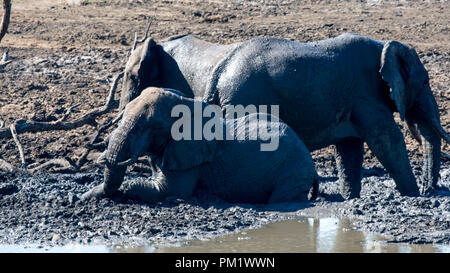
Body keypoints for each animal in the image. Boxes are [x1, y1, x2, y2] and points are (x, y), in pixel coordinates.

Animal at [81, 86, 320, 203]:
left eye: (153, 126)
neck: (188, 103)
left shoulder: (190, 159)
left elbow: (166, 189)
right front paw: (84, 196)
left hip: (294, 171)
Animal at [203, 32, 450, 198]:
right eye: (425, 82)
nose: (430, 189)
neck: (384, 46)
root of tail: (220, 70)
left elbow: (350, 149)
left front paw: (351, 199)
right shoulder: (365, 95)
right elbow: (387, 140)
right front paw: (413, 195)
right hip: (246, 100)